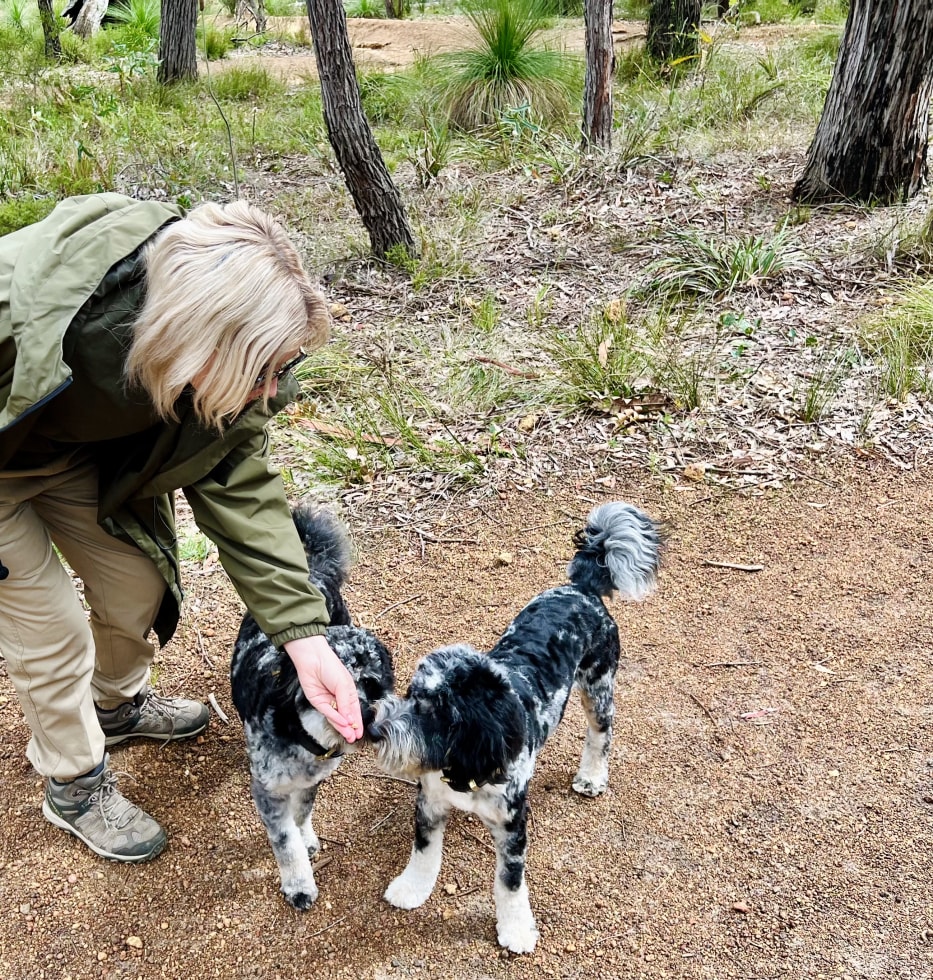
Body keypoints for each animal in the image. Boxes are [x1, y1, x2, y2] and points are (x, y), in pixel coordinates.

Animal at [233, 506, 396, 912]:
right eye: (335, 696)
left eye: (374, 685)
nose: (369, 721)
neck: (300, 738)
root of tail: (312, 568)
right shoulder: (268, 792)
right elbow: (285, 843)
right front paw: (299, 885)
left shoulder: (312, 781)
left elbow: (303, 813)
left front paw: (306, 837)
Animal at [368, 502, 660, 952]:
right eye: (411, 693)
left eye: (437, 712)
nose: (375, 728)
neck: (465, 764)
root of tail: (582, 588)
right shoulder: (429, 803)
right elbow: (423, 852)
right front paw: (411, 889)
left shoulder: (512, 827)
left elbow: (509, 883)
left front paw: (516, 929)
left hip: (598, 684)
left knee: (601, 733)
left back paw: (592, 777)